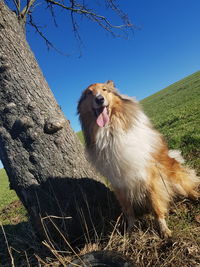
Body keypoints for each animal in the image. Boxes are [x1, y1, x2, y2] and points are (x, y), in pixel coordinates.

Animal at [77, 80, 199, 238]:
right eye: (89, 93)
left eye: (105, 90)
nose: (99, 99)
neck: (110, 133)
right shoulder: (119, 183)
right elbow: (128, 211)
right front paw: (130, 230)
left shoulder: (149, 176)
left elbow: (156, 205)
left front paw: (163, 230)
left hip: (174, 178)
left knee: (188, 187)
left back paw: (196, 196)